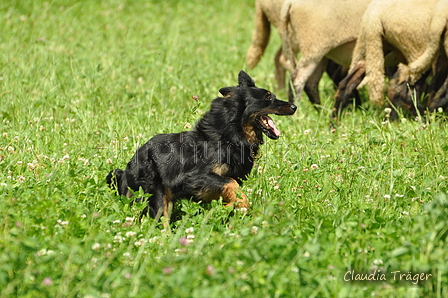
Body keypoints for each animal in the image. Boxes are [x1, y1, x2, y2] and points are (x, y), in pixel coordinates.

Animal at [107, 70, 298, 226]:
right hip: (156, 195)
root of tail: (126, 169)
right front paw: (238, 205)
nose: (294, 106)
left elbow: (232, 189)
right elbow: (232, 184)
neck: (228, 136)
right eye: (268, 97)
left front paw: (227, 207)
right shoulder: (195, 178)